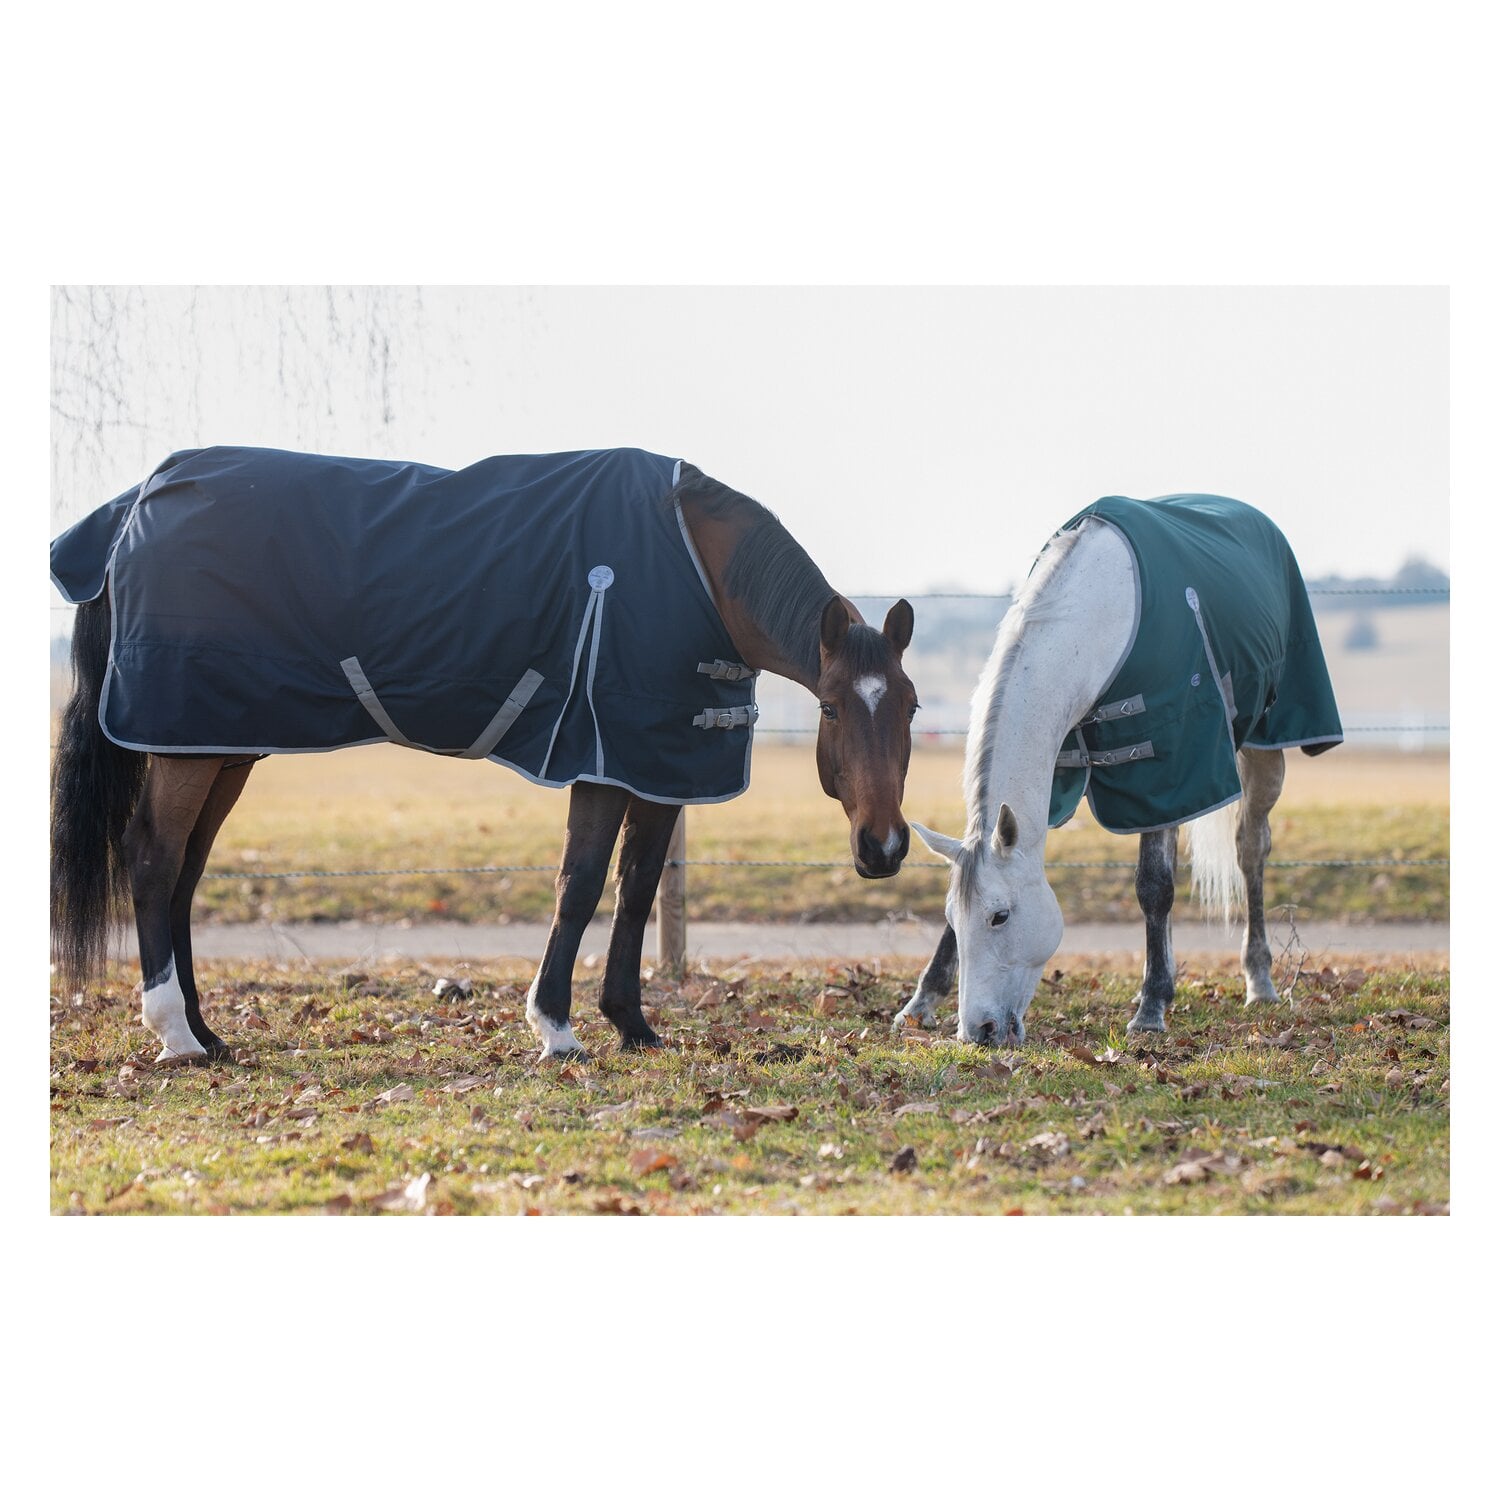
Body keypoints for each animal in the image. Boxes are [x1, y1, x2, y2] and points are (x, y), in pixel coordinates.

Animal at [50, 446, 919, 1062]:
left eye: (910, 707)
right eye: (833, 707)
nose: (883, 847)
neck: (696, 566)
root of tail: (132, 508)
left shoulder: (661, 763)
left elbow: (636, 888)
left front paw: (633, 1026)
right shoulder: (601, 758)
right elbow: (580, 883)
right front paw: (557, 1028)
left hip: (220, 744)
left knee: (186, 874)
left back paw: (210, 1032)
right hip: (186, 747)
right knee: (153, 858)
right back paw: (176, 1035)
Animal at [893, 493, 1342, 1045]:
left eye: (1000, 916)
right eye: (954, 920)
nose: (979, 1030)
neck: (1097, 621)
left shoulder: (1166, 766)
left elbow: (1154, 886)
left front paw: (1150, 1009)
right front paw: (921, 1001)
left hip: (1262, 746)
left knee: (1250, 848)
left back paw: (1258, 979)